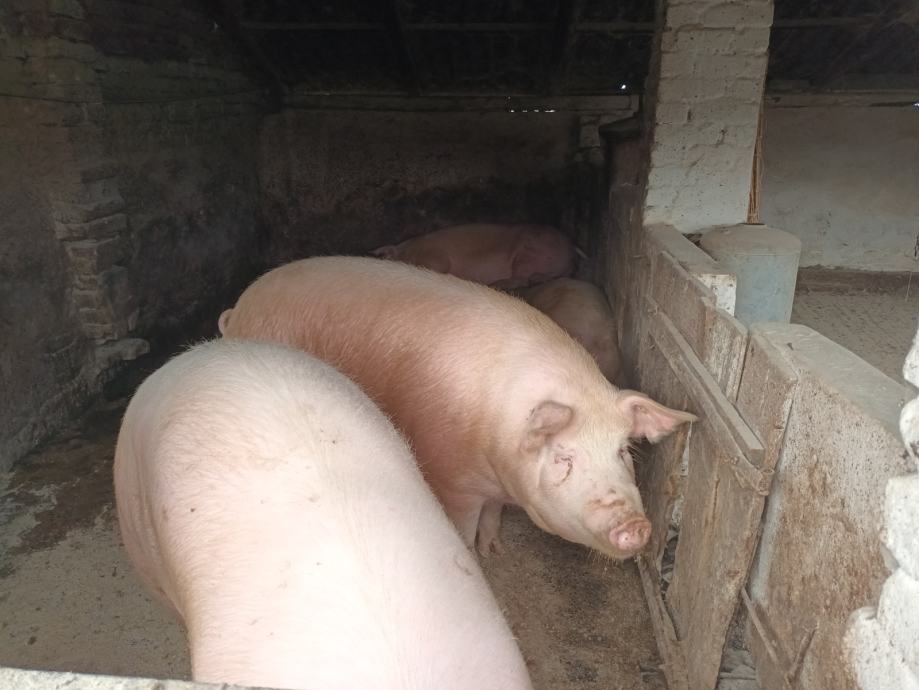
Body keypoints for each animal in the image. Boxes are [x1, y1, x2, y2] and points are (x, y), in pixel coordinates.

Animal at [219, 257, 696, 559]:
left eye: (622, 452)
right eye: (565, 458)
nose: (635, 525)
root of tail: (241, 305)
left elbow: (493, 517)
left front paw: (495, 550)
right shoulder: (452, 482)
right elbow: (464, 527)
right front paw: (477, 562)